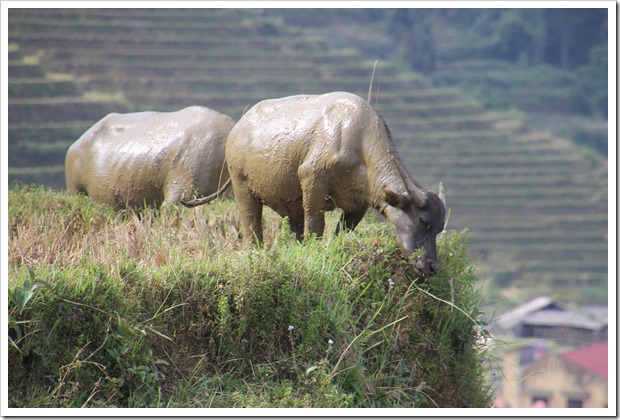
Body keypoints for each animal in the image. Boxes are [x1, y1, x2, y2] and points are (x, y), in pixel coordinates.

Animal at [183, 92, 446, 276]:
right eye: (423, 222)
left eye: (439, 228)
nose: (432, 267)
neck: (356, 140)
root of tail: (239, 127)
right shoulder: (312, 180)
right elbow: (316, 225)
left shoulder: (359, 203)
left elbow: (343, 232)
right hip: (242, 187)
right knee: (251, 225)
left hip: (291, 203)